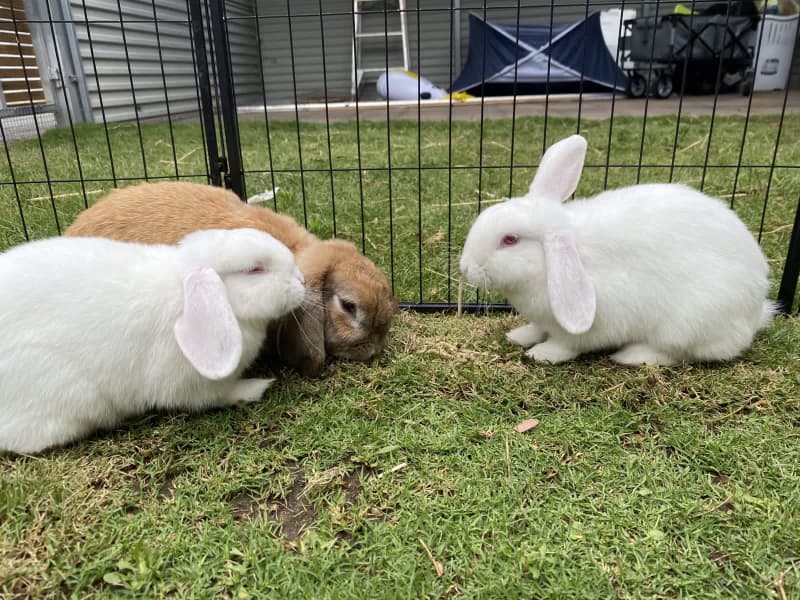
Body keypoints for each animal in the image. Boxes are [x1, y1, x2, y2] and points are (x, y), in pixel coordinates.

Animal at [459, 134, 775, 366]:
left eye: (510, 240)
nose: (465, 267)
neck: (549, 263)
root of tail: (755, 314)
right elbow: (537, 328)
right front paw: (519, 336)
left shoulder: (587, 323)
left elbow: (567, 343)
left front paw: (542, 354)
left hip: (686, 325)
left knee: (677, 353)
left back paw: (632, 356)